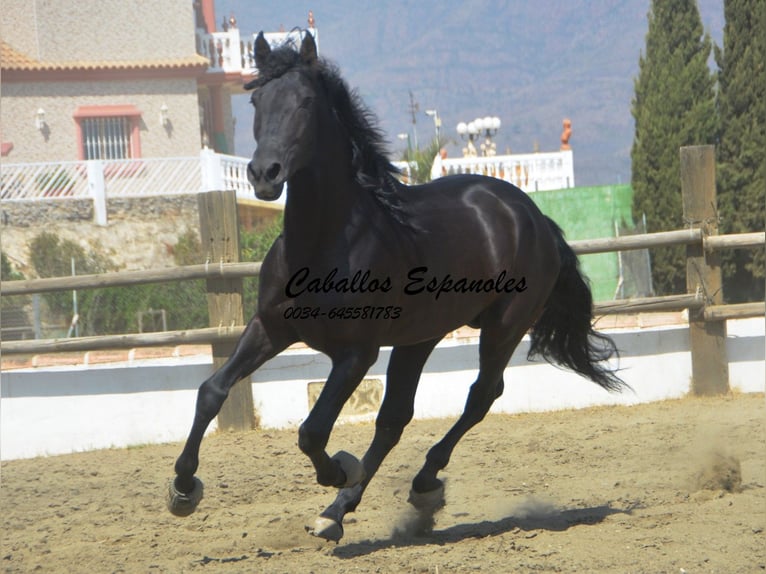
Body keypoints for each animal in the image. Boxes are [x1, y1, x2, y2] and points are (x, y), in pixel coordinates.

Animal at [168, 31, 624, 544]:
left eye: (306, 101)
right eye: (255, 100)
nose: (265, 174)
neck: (326, 242)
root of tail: (532, 214)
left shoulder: (355, 354)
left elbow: (313, 431)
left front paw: (338, 470)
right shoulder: (270, 328)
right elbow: (212, 391)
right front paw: (183, 489)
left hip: (504, 328)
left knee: (480, 396)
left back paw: (416, 485)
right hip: (419, 338)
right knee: (395, 419)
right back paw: (342, 509)